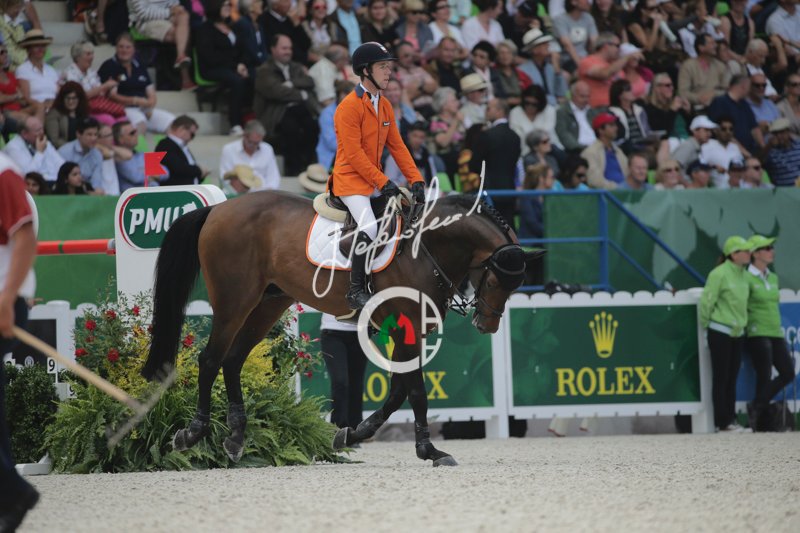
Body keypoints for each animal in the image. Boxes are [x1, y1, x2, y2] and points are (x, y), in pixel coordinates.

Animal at [141, 191, 540, 466]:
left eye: (515, 285)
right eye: (494, 280)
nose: (486, 324)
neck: (425, 246)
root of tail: (218, 209)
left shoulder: (409, 333)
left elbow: (398, 390)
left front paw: (352, 434)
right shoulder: (405, 329)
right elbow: (416, 392)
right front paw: (429, 450)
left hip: (267, 304)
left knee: (233, 360)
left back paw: (236, 438)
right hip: (233, 302)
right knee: (210, 360)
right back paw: (191, 434)